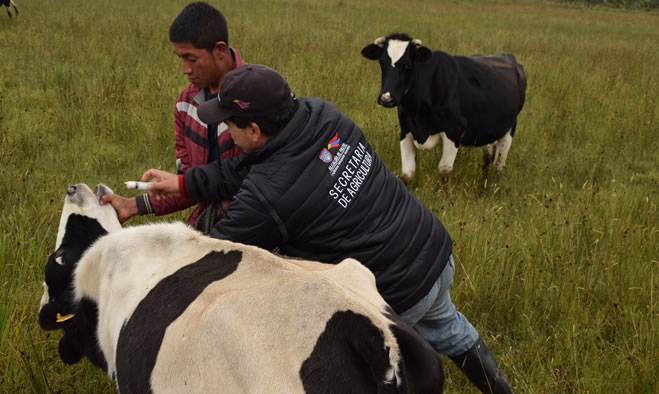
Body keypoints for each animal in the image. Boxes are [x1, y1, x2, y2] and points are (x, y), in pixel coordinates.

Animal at [360, 33, 524, 184]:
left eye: (407, 65)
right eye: (382, 63)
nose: (386, 98)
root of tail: (507, 56)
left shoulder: (455, 131)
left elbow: (444, 171)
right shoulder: (405, 131)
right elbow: (407, 174)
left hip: (509, 130)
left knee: (499, 165)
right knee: (487, 158)